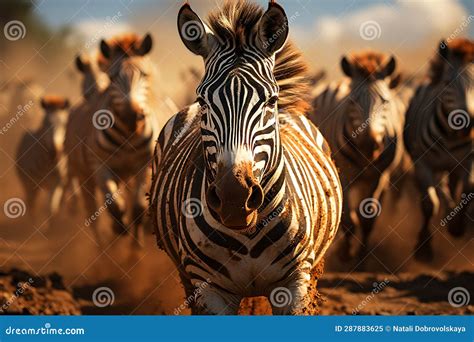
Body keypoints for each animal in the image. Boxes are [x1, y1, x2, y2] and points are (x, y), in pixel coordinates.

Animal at [15, 95, 70, 226]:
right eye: (45, 124)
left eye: (64, 124)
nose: (54, 153)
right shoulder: (30, 184)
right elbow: (31, 208)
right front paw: (34, 226)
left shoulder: (57, 183)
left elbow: (52, 209)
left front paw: (52, 227)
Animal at [64, 32, 160, 246]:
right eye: (113, 77)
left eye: (144, 75)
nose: (131, 116)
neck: (127, 135)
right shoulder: (100, 165)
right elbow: (115, 205)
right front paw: (119, 228)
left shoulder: (144, 165)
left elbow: (138, 207)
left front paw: (136, 246)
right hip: (83, 176)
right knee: (92, 213)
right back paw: (102, 248)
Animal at [150, 0, 342, 316]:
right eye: (202, 101)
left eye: (271, 101)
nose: (234, 198)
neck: (247, 231)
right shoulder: (208, 289)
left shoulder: (296, 281)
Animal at [310, 50, 406, 264]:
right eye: (352, 102)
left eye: (385, 102)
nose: (368, 144)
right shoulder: (343, 175)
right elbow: (348, 219)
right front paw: (346, 254)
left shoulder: (379, 176)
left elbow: (368, 219)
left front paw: (362, 256)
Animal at [404, 38, 474, 262]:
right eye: (448, 83)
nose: (469, 125)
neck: (452, 136)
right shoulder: (423, 163)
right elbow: (430, 204)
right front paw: (423, 248)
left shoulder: (469, 160)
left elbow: (468, 187)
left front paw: (457, 226)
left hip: (453, 167)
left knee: (451, 185)